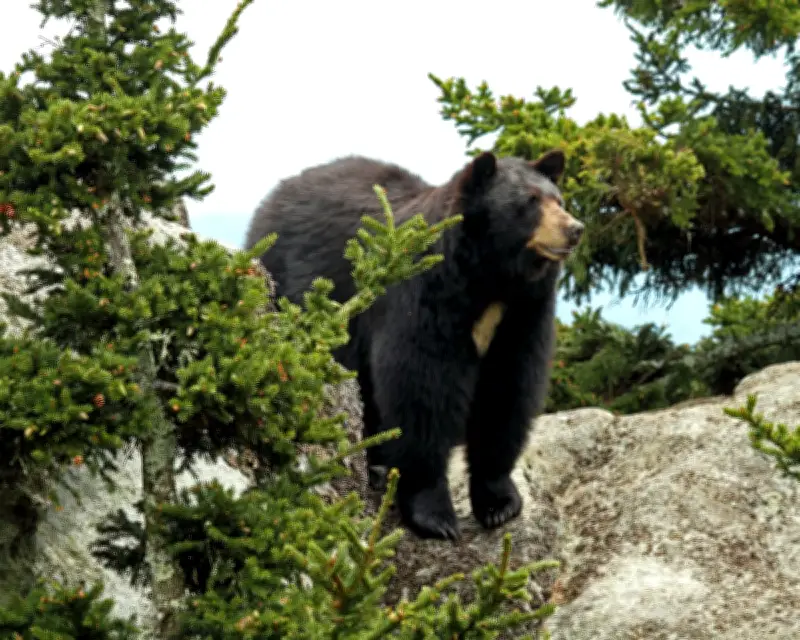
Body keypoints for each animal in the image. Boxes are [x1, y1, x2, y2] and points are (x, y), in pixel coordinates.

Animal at [244, 149, 584, 540]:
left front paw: (499, 503)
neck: (490, 280)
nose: (575, 229)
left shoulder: (523, 313)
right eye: (529, 202)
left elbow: (508, 390)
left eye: (558, 200)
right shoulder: (423, 295)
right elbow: (422, 389)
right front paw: (435, 515)